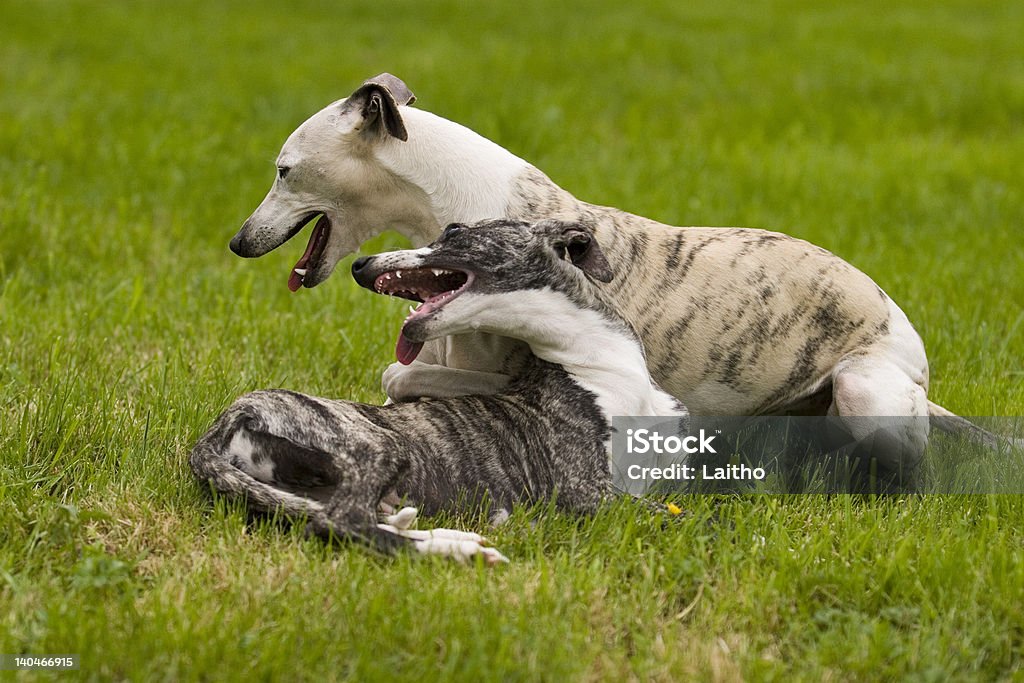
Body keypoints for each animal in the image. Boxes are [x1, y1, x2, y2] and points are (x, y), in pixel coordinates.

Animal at [230, 73, 983, 471]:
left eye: (284, 170)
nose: (238, 241)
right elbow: (396, 387)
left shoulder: (511, 376)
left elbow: (401, 376)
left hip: (862, 385)